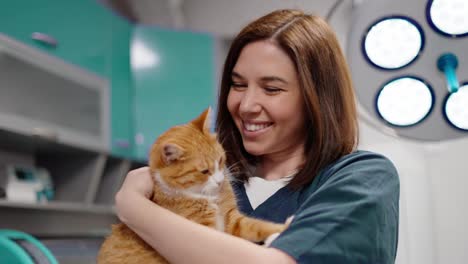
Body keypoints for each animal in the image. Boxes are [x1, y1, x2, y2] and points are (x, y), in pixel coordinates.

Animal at [97, 108, 288, 264]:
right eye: (204, 171)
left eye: (220, 159)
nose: (220, 180)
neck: (207, 196)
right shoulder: (205, 233)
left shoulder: (232, 219)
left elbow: (257, 226)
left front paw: (281, 229)